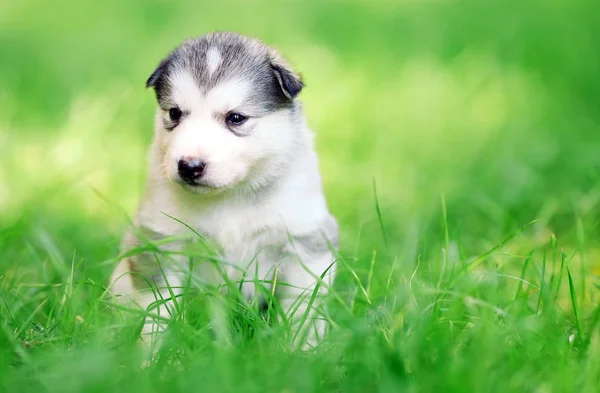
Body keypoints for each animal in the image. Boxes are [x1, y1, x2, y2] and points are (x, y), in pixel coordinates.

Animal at [110, 30, 340, 350]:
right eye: (175, 113)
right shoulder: (163, 240)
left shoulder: (305, 242)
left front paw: (302, 350)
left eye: (236, 118)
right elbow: (160, 307)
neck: (231, 195)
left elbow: (302, 310)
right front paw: (153, 353)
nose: (189, 166)